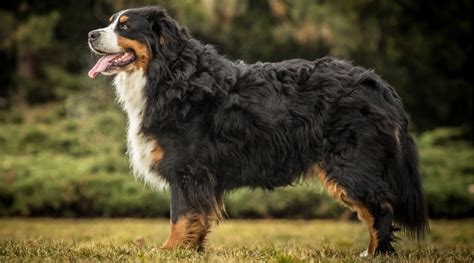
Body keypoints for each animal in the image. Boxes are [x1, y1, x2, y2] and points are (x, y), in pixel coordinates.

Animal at [86, 5, 430, 256]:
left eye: (125, 26)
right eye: (111, 22)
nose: (91, 34)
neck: (171, 75)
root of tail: (378, 83)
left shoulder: (187, 168)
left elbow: (182, 215)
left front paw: (170, 251)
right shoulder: (197, 174)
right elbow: (197, 218)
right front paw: (192, 251)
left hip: (350, 163)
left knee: (380, 208)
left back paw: (375, 254)